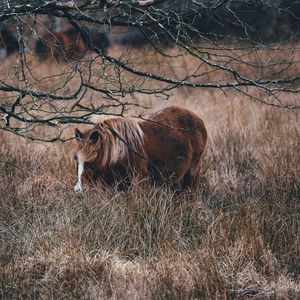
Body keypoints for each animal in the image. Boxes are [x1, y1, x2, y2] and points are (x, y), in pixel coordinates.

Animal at [74, 106, 207, 197]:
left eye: (91, 161)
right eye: (76, 159)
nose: (78, 191)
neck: (121, 153)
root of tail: (198, 119)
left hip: (192, 172)